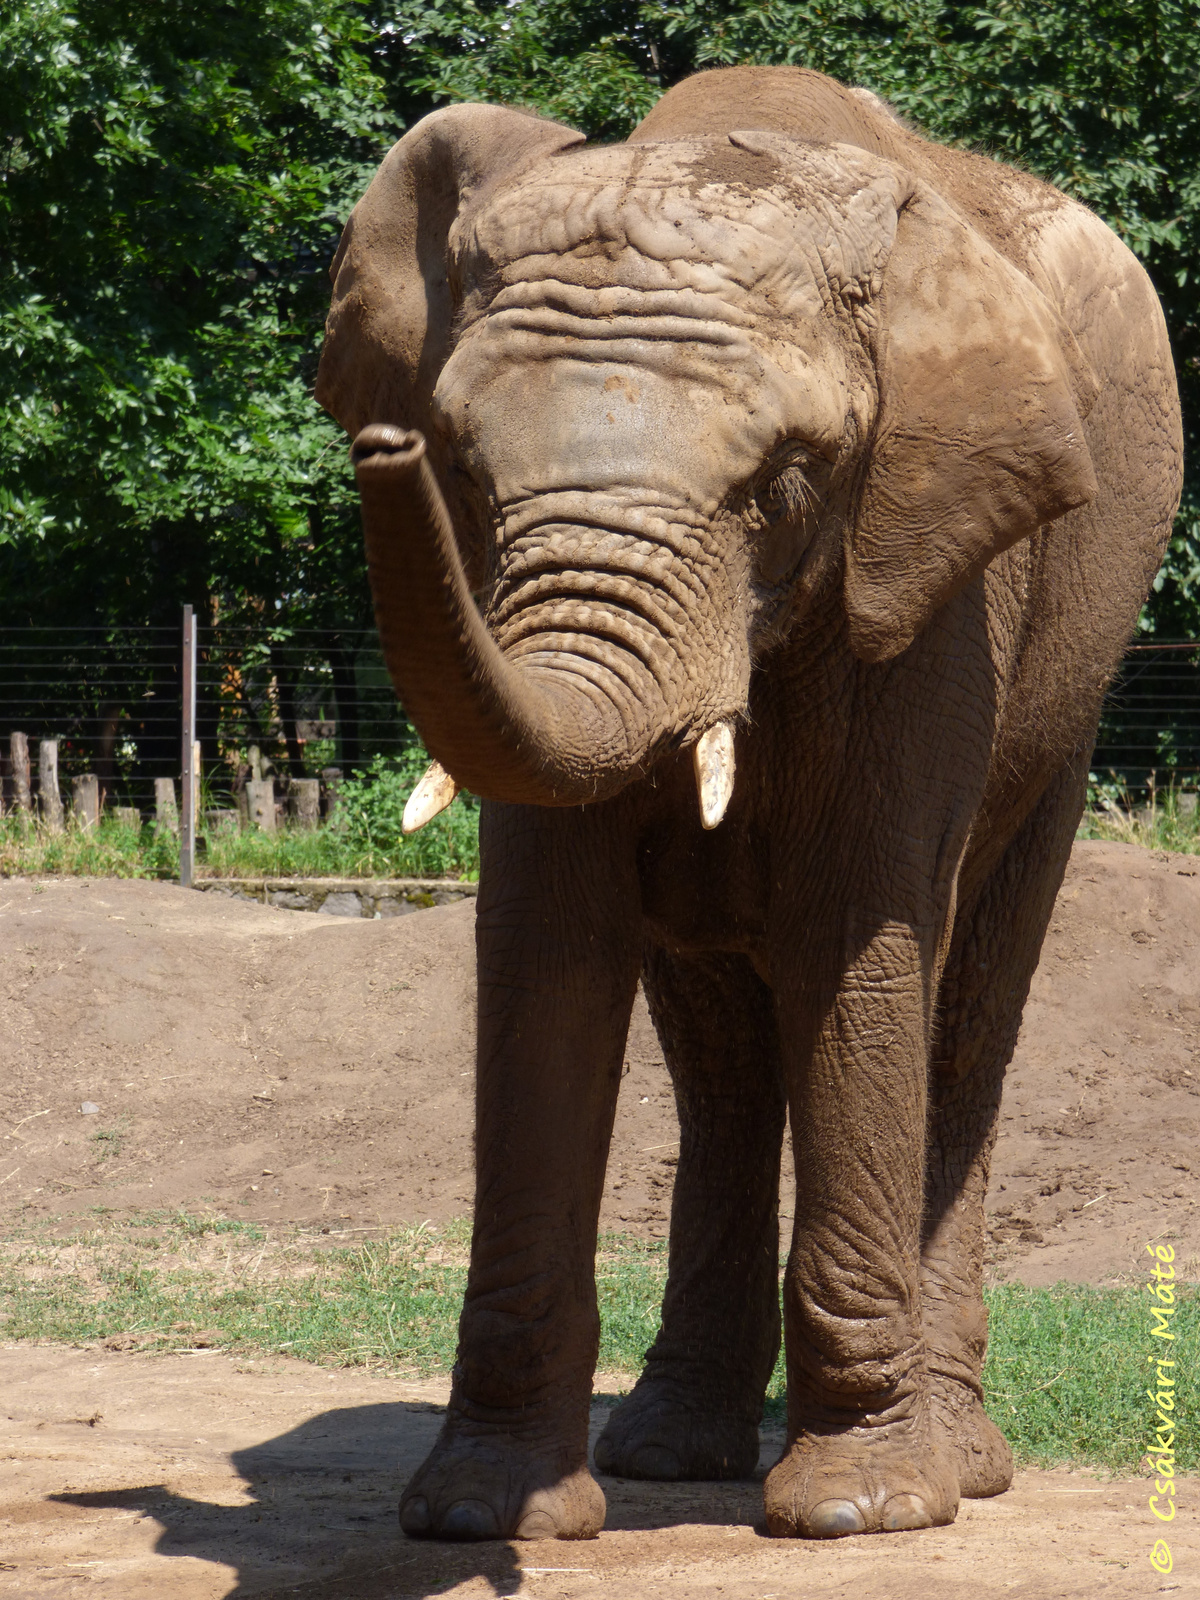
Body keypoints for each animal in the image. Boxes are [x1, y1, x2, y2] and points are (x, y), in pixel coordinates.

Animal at [316, 68, 1184, 1542]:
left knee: (966, 1019)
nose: (385, 454)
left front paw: (861, 1513)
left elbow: (857, 934)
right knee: (720, 1060)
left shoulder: (934, 572)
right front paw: (486, 1515)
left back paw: (960, 1463)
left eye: (779, 485)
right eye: (463, 469)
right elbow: (550, 941)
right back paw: (672, 1452)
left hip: (1067, 695)